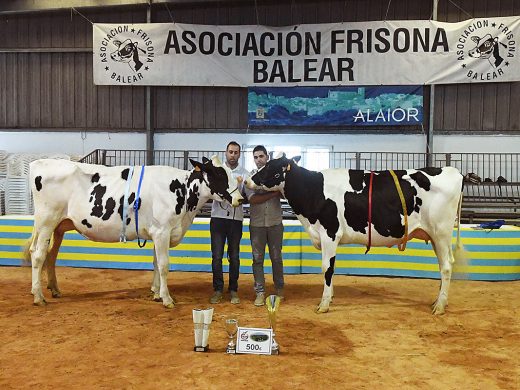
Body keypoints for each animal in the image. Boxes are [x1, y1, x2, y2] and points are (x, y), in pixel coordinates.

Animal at [24, 155, 244, 308]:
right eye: (218, 174)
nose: (240, 198)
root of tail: (39, 163)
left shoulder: (157, 233)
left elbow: (155, 263)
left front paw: (156, 293)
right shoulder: (162, 231)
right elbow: (164, 265)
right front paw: (167, 299)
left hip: (59, 226)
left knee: (50, 255)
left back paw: (54, 290)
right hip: (46, 221)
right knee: (38, 254)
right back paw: (38, 296)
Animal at [246, 155, 466, 314]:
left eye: (270, 168)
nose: (248, 180)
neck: (314, 190)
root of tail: (453, 171)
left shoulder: (330, 233)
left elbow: (327, 268)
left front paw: (324, 304)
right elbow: (331, 269)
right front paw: (331, 297)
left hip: (441, 233)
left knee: (446, 267)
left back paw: (439, 307)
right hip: (437, 237)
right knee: (442, 267)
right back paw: (438, 301)